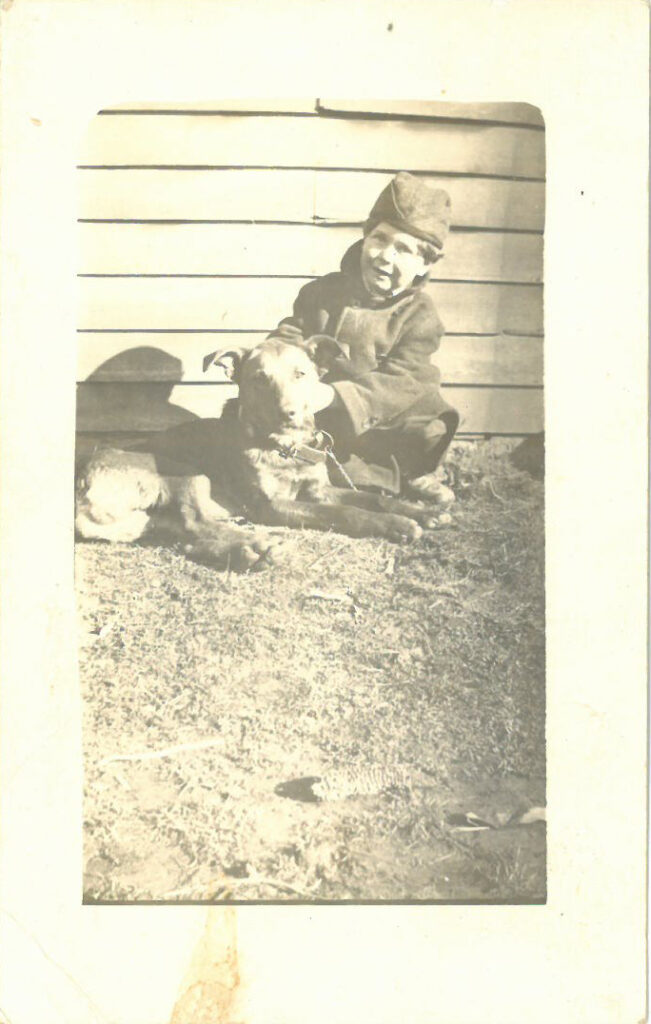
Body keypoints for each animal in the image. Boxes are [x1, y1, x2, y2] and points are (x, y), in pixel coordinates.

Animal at [77, 339, 442, 573]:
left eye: (301, 374)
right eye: (259, 379)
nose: (288, 414)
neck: (285, 449)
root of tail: (82, 480)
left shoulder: (319, 489)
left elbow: (373, 498)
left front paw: (420, 512)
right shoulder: (272, 505)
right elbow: (343, 512)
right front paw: (397, 524)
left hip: (153, 517)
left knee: (190, 537)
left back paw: (247, 554)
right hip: (185, 471)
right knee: (195, 522)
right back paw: (256, 548)